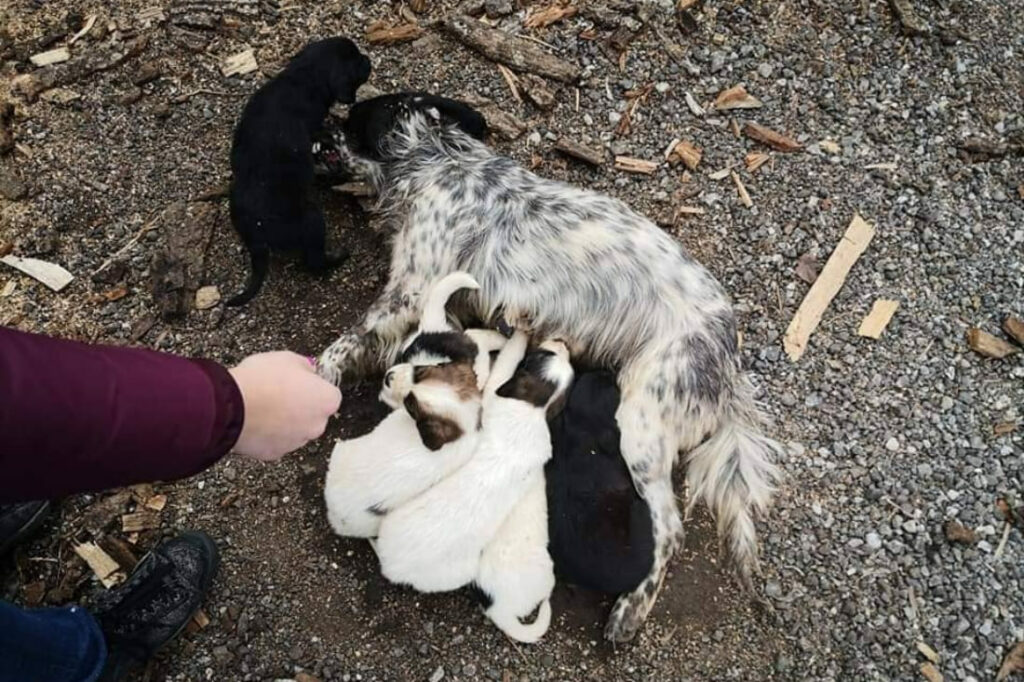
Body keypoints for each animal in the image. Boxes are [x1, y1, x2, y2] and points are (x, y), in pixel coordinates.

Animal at [228, 35, 372, 305]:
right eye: (357, 61)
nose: (368, 58)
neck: (304, 76)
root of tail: (254, 228)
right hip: (312, 219)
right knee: (314, 261)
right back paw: (338, 258)